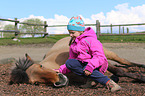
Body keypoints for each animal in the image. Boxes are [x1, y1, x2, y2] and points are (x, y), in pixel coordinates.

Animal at [9, 36, 145, 87]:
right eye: (36, 83)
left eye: (41, 65)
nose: (60, 80)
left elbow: (119, 70)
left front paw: (140, 78)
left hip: (108, 54)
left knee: (125, 62)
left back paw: (141, 67)